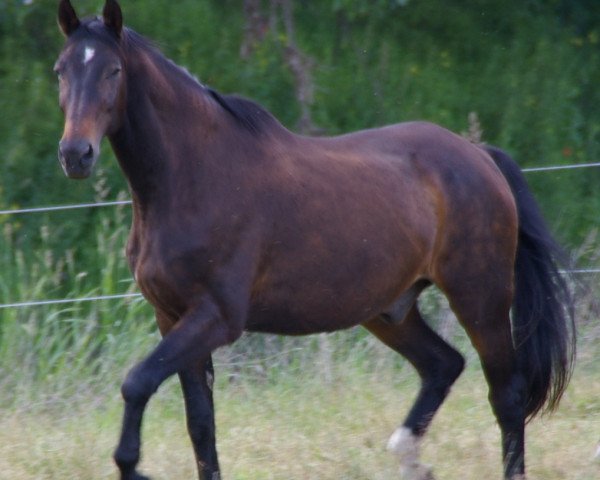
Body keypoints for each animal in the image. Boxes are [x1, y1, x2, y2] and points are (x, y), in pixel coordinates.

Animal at [56, 1, 576, 478]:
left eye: (113, 70)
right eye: (61, 70)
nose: (75, 155)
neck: (192, 178)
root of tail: (480, 156)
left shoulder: (215, 317)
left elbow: (137, 382)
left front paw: (131, 465)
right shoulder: (172, 318)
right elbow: (200, 425)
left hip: (480, 298)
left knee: (506, 397)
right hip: (388, 310)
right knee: (443, 365)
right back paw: (407, 456)